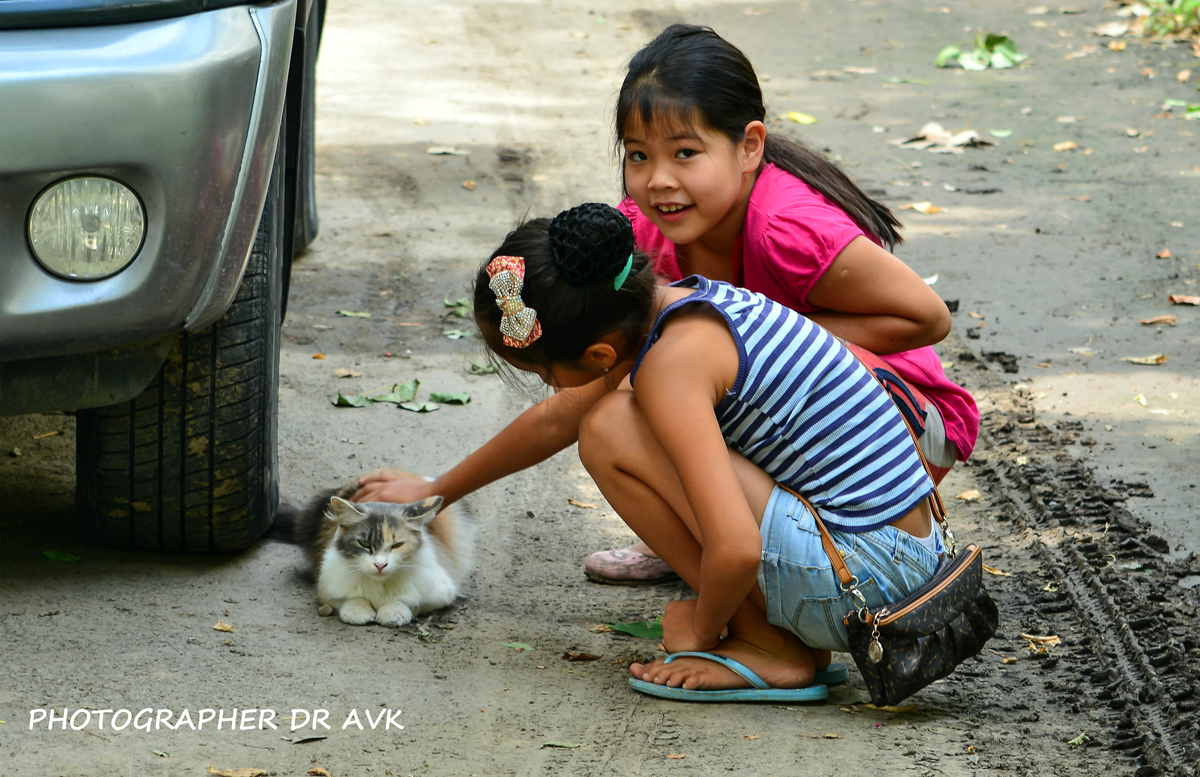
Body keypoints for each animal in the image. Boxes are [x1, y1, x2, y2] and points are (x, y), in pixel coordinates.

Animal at [276, 470, 472, 628]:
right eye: (364, 543)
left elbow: (406, 600)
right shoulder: (326, 587)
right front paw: (358, 612)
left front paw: (392, 613)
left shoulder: (441, 592)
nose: (380, 565)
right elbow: (351, 598)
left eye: (396, 545)